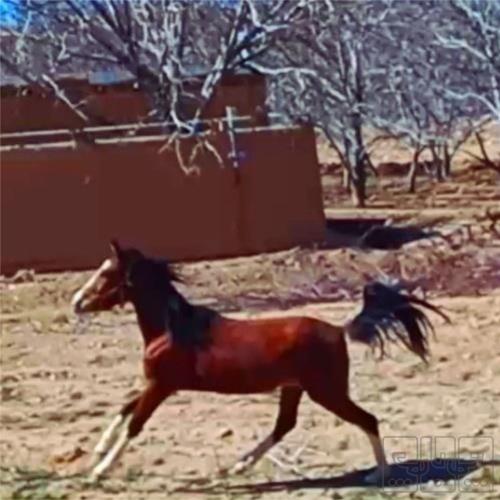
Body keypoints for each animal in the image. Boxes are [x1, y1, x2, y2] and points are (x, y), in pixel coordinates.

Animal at [71, 240, 450, 482]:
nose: (77, 302)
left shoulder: (162, 385)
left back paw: (379, 474)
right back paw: (238, 467)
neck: (172, 329)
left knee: (367, 419)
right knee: (285, 425)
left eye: (106, 274)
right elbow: (125, 408)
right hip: (295, 388)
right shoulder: (159, 383)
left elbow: (135, 422)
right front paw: (96, 452)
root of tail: (339, 330)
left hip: (326, 392)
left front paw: (99, 471)